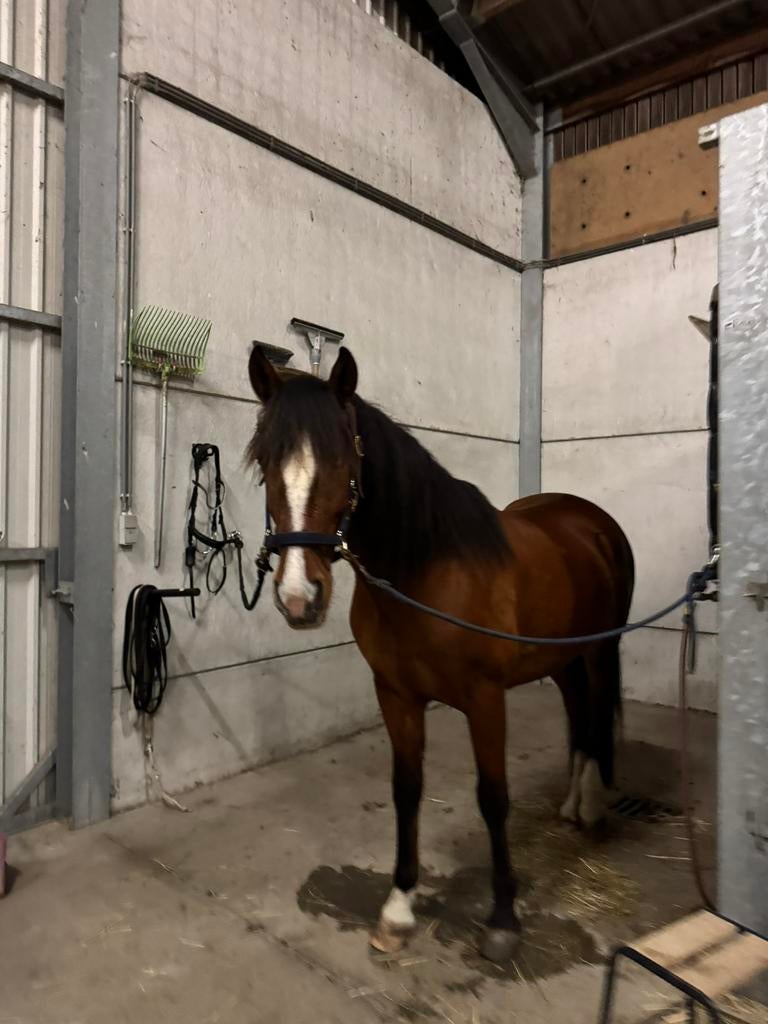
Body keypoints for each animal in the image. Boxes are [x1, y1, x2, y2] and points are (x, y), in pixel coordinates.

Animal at [246, 345, 635, 963]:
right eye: (264, 462)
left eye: (343, 460)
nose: (299, 597)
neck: (425, 573)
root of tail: (591, 521)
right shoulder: (396, 694)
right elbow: (406, 790)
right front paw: (398, 909)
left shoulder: (485, 698)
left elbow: (493, 797)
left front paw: (502, 918)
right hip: (562, 659)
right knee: (578, 714)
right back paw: (573, 804)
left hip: (600, 650)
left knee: (596, 719)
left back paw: (594, 807)